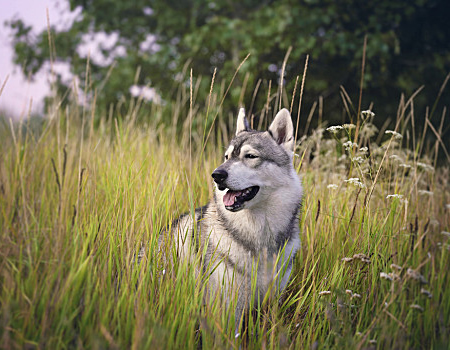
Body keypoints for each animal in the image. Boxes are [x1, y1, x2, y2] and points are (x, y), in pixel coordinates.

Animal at [153, 109, 304, 330]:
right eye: (226, 157)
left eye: (250, 156)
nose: (216, 175)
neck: (258, 235)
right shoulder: (226, 311)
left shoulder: (270, 303)